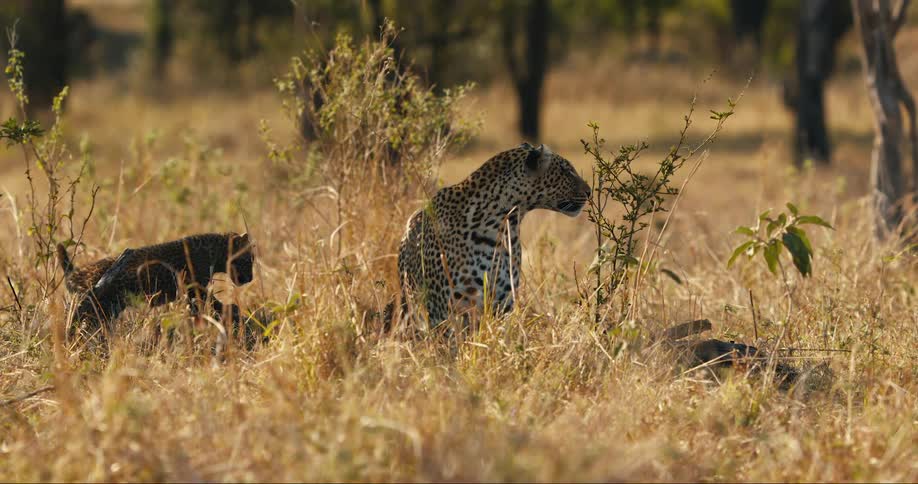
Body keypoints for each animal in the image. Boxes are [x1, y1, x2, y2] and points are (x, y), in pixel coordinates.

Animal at [57, 232, 255, 338]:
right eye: (248, 260)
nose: (251, 279)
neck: (216, 251)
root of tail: (78, 273)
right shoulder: (195, 287)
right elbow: (212, 302)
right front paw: (233, 311)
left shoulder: (191, 291)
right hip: (101, 302)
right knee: (82, 316)